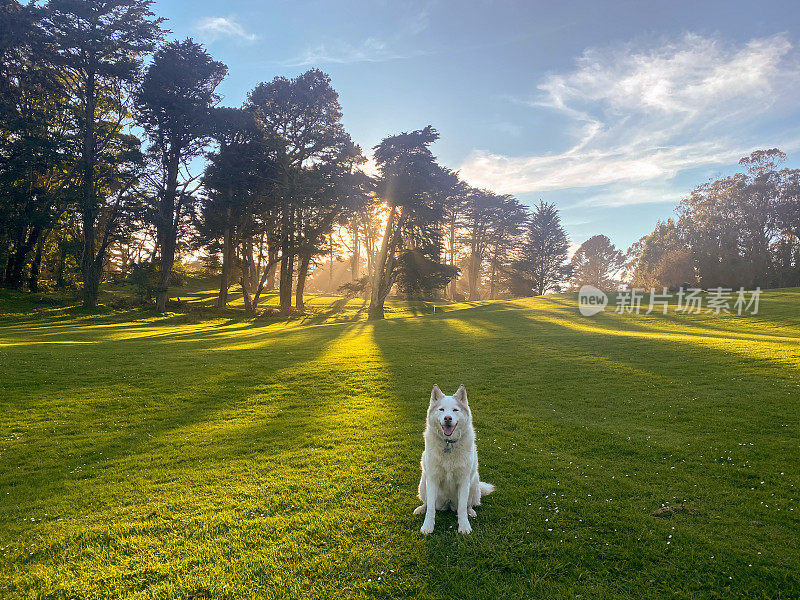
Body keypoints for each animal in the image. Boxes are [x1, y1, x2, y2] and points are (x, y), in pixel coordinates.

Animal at [412, 384, 494, 536]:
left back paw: (471, 512)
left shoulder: (464, 480)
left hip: (473, 484)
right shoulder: (432, 479)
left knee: (468, 505)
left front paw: (464, 526)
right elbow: (430, 508)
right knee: (427, 503)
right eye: (441, 409)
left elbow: (462, 508)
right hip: (423, 483)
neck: (448, 444)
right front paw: (428, 526)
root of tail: (449, 503)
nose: (448, 418)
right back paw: (421, 508)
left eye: (455, 410)